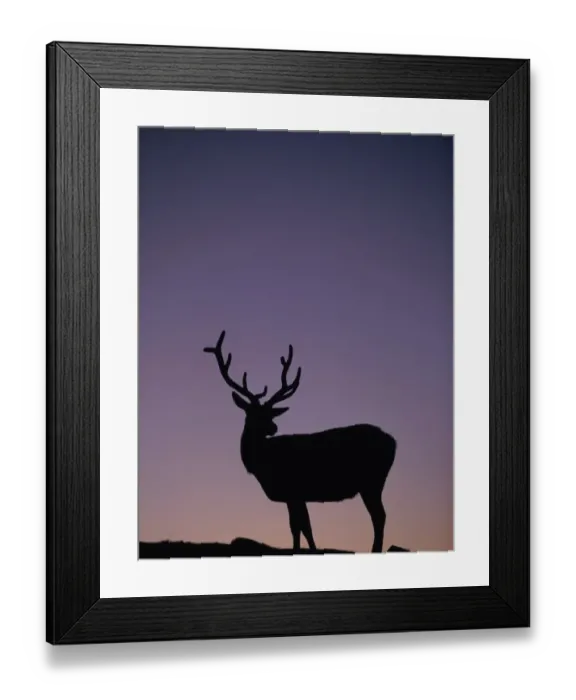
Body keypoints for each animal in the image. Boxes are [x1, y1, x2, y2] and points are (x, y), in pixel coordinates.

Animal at [203, 331, 397, 553]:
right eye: (253, 413)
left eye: (269, 413)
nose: (273, 427)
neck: (263, 464)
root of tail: (394, 442)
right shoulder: (295, 494)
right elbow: (300, 526)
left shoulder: (293, 488)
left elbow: (300, 526)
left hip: (372, 481)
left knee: (379, 516)